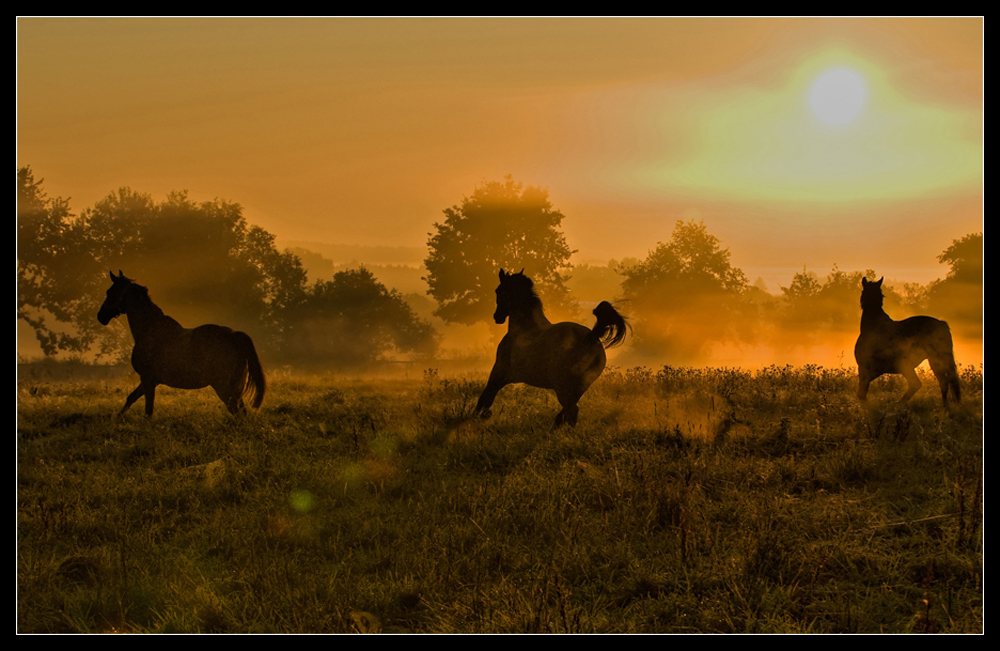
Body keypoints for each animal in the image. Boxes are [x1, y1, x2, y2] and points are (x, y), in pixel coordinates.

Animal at [98, 272, 268, 418]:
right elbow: (131, 398)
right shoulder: (151, 380)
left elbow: (148, 411)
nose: (100, 316)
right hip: (235, 388)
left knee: (237, 412)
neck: (151, 330)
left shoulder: (147, 379)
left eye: (110, 292)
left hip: (225, 388)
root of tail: (234, 335)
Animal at [474, 268, 628, 428]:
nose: (497, 317)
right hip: (579, 387)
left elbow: (485, 398)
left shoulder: (499, 372)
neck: (524, 329)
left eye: (499, 290)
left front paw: (479, 416)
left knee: (572, 410)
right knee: (568, 410)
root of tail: (591, 337)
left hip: (563, 386)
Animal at [852, 276, 960, 408]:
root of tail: (941, 324)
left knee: (918, 383)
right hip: (934, 361)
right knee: (943, 382)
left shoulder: (865, 368)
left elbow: (862, 392)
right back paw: (944, 406)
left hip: (914, 364)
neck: (873, 325)